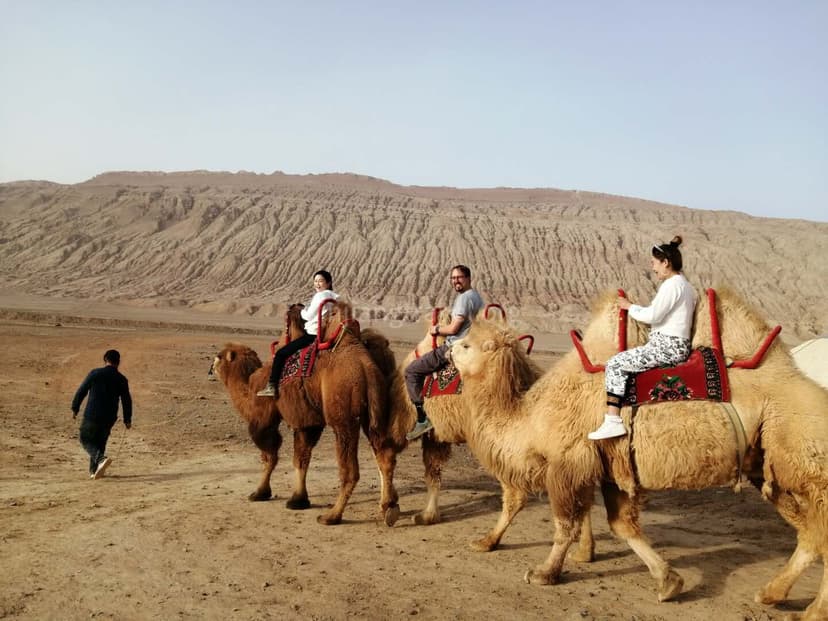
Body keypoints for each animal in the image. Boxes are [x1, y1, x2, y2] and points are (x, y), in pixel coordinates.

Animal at [210, 301, 401, 526]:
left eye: (219, 357)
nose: (210, 367)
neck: (249, 387)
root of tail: (367, 365)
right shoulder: (308, 421)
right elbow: (302, 457)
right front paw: (298, 499)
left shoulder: (266, 415)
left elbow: (270, 454)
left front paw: (260, 493)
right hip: (374, 412)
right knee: (384, 455)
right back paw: (389, 507)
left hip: (343, 417)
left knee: (350, 469)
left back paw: (332, 515)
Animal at [450, 289, 828, 620]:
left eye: (467, 344)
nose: (447, 348)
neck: (530, 415)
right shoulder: (611, 470)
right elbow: (623, 526)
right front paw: (669, 582)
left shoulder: (567, 464)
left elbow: (565, 524)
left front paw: (544, 573)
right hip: (768, 465)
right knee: (811, 533)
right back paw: (772, 594)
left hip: (803, 456)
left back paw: (810, 611)